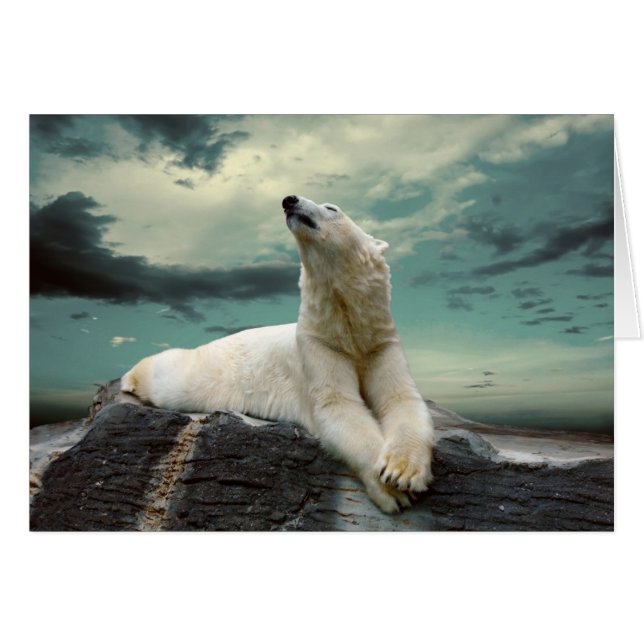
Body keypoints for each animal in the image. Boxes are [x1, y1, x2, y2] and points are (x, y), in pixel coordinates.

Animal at [121, 195, 435, 513]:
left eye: (332, 208)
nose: (289, 200)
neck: (346, 326)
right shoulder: (318, 345)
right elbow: (338, 406)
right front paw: (391, 490)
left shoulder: (379, 343)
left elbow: (401, 398)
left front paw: (402, 471)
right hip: (203, 371)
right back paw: (129, 378)